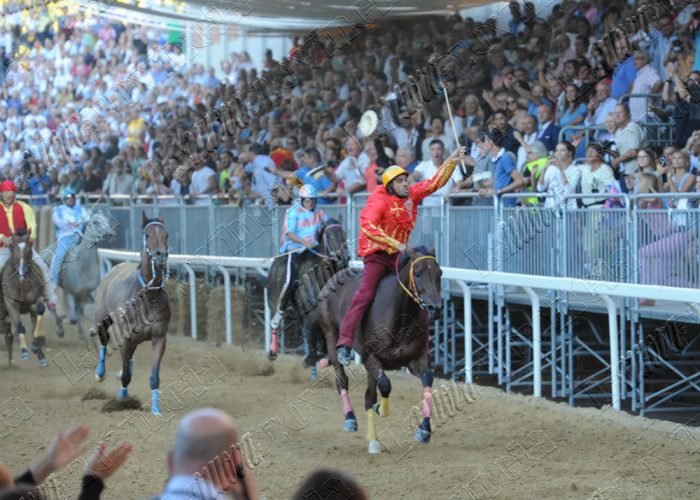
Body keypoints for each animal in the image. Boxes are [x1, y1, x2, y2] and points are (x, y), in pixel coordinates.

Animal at [0, 230, 48, 368]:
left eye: (29, 248)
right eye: (12, 247)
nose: (22, 272)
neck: (22, 284)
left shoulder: (36, 300)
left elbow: (40, 311)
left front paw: (36, 346)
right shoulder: (11, 304)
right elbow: (19, 326)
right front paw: (24, 352)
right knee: (8, 334)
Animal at [41, 206, 117, 340]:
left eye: (106, 219)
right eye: (95, 222)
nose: (111, 234)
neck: (83, 266)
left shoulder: (88, 291)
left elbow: (86, 311)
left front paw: (91, 331)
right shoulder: (72, 292)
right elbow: (75, 315)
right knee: (51, 306)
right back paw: (59, 329)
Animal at [92, 211, 170, 414]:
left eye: (165, 235)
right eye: (147, 235)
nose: (160, 256)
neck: (148, 295)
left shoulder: (159, 337)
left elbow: (154, 377)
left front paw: (155, 409)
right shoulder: (126, 338)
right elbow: (126, 375)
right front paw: (122, 399)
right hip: (102, 319)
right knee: (104, 341)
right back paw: (100, 374)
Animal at [266, 215, 348, 364]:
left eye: (344, 234)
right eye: (328, 236)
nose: (344, 258)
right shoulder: (310, 313)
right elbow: (311, 334)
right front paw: (311, 358)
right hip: (275, 300)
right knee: (275, 322)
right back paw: (273, 350)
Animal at [318, 245, 442, 454]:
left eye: (439, 273)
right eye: (417, 273)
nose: (435, 307)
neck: (401, 317)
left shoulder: (415, 358)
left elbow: (427, 380)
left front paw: (423, 430)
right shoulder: (370, 357)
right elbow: (385, 385)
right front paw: (381, 409)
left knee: (368, 395)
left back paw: (373, 439)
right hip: (331, 336)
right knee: (342, 380)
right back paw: (350, 418)